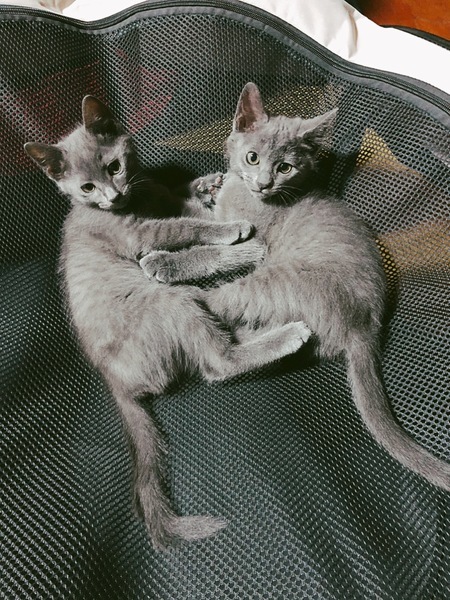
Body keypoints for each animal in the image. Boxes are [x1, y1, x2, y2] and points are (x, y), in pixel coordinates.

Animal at [24, 95, 312, 550]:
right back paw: (288, 334)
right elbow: (187, 225)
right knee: (217, 364)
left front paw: (208, 183)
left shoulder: (154, 195)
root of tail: (115, 382)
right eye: (87, 188)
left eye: (114, 166)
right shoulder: (142, 235)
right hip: (172, 302)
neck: (136, 200)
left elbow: (180, 200)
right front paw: (233, 229)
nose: (112, 196)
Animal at [144, 82, 450, 493]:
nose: (263, 183)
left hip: (276, 278)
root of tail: (366, 328)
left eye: (285, 167)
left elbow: (207, 238)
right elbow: (198, 212)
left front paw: (168, 253)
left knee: (215, 337)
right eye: (253, 158)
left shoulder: (253, 241)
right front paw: (206, 185)